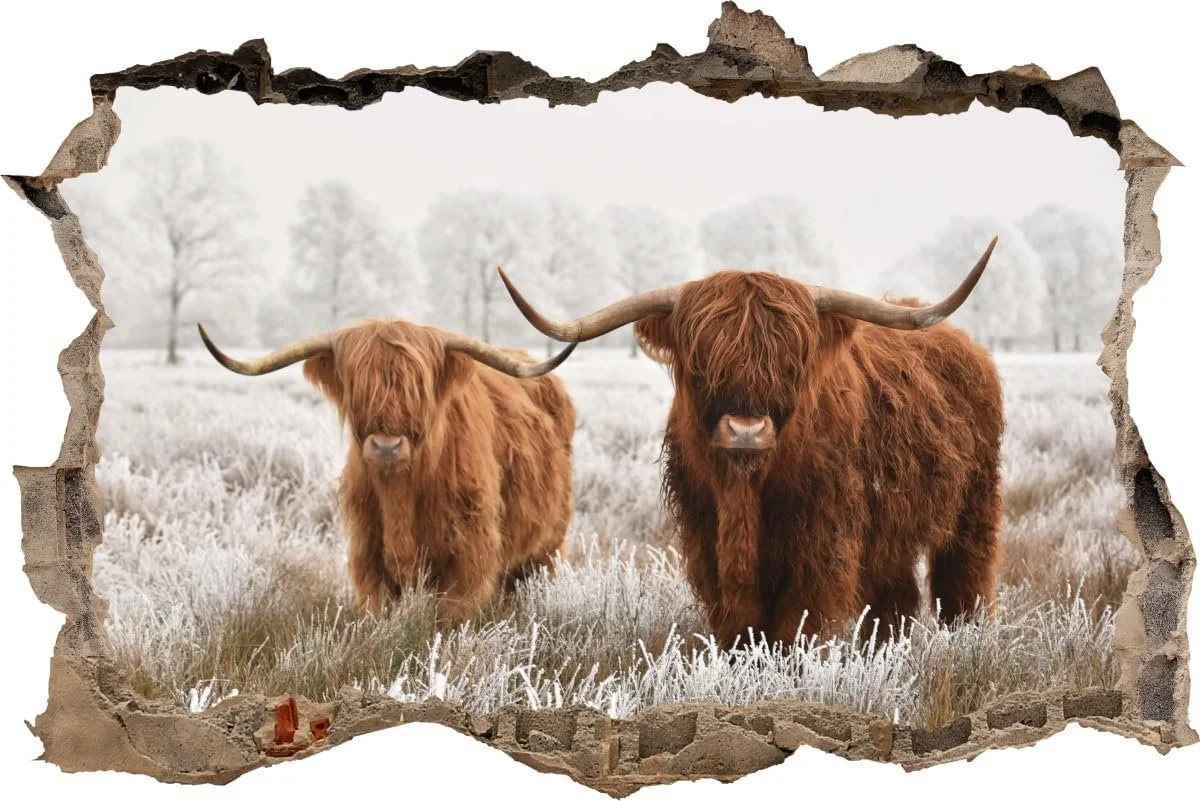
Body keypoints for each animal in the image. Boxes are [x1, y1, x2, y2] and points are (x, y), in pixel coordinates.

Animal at [197, 318, 578, 624]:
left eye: (417, 387)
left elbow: (450, 617)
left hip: (546, 546)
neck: (401, 493)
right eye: (357, 386)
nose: (386, 446)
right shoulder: (368, 554)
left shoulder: (469, 555)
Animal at [496, 237, 1004, 649]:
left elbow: (795, 626)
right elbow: (739, 627)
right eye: (700, 360)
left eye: (791, 361)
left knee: (964, 580)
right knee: (895, 599)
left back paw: (966, 640)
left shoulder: (821, 545)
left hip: (974, 506)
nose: (745, 430)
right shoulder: (707, 540)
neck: (745, 492)